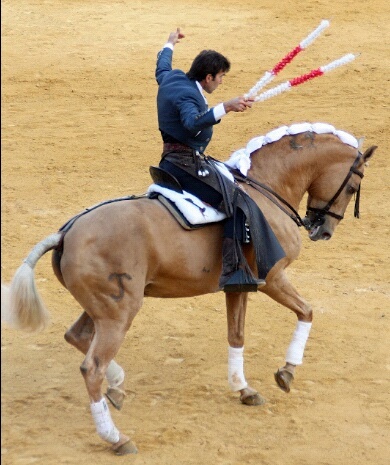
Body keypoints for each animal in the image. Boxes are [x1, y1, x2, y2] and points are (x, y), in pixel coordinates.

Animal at [2, 123, 374, 454]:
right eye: (354, 186)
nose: (322, 230)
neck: (265, 188)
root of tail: (66, 232)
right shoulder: (273, 278)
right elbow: (307, 311)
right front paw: (286, 373)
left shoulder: (238, 287)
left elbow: (236, 335)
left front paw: (244, 389)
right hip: (119, 313)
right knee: (92, 367)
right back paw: (117, 438)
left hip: (104, 308)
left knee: (77, 337)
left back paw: (118, 389)